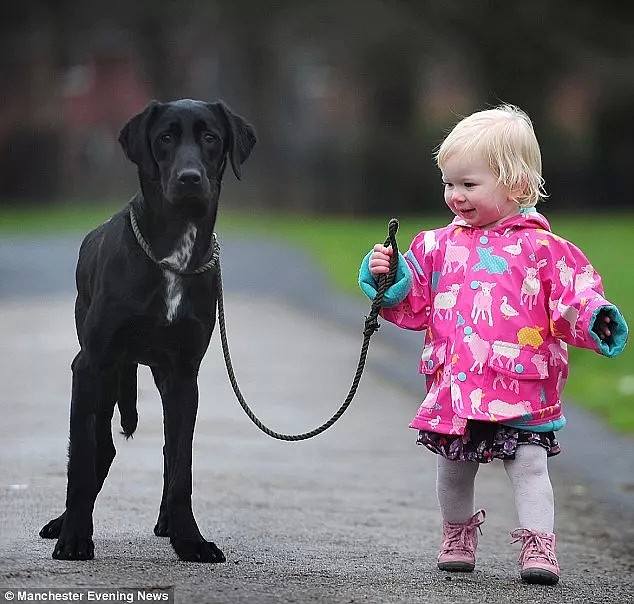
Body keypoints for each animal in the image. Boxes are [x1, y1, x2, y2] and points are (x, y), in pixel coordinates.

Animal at [39, 98, 256, 560]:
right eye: (165, 137)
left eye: (210, 137)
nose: (190, 178)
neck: (173, 250)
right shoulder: (92, 364)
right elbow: (81, 458)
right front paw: (74, 538)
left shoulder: (183, 374)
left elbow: (181, 467)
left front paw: (189, 539)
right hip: (105, 376)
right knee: (100, 448)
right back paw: (65, 522)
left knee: (168, 450)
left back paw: (167, 522)